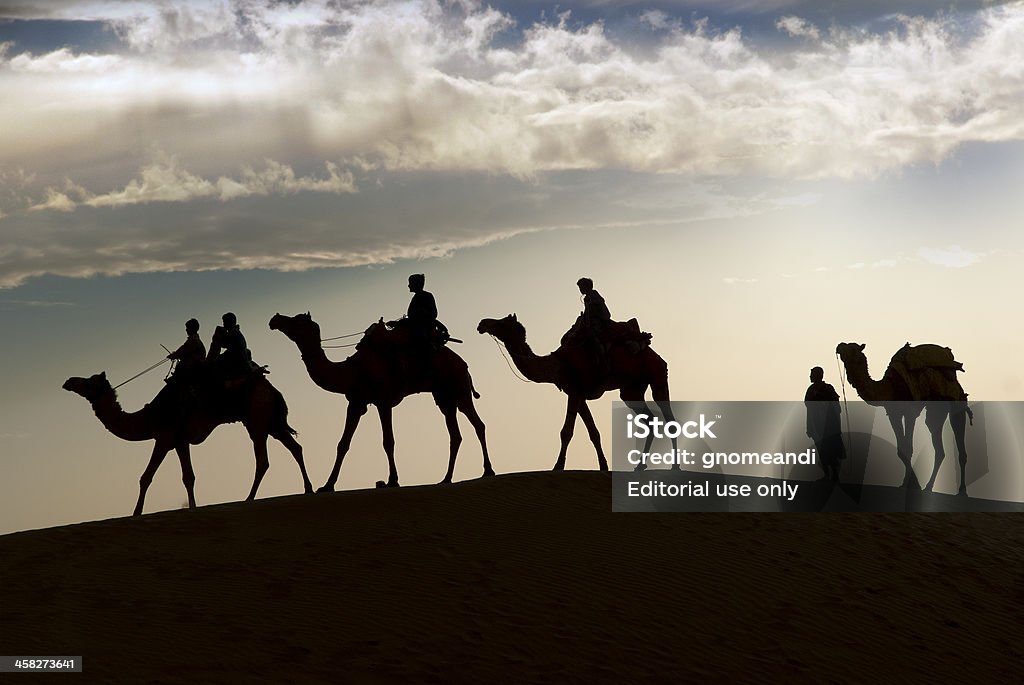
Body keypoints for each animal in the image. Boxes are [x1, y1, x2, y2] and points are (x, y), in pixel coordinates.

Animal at [62, 374, 313, 511]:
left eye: (90, 382)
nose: (68, 381)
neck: (149, 416)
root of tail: (272, 389)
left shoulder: (164, 438)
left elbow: (146, 477)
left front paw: (136, 512)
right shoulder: (180, 442)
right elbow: (188, 477)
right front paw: (192, 507)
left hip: (257, 419)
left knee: (263, 460)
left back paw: (249, 498)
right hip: (270, 421)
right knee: (295, 448)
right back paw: (308, 488)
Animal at [270, 313, 493, 489]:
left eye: (297, 320)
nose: (276, 319)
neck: (352, 371)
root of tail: (464, 364)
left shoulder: (383, 401)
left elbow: (388, 441)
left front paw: (392, 480)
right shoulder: (356, 402)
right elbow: (343, 444)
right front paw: (327, 485)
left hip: (459, 389)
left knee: (478, 424)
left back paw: (488, 471)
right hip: (444, 397)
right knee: (455, 434)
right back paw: (446, 478)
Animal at [477, 313, 675, 471]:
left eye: (502, 322)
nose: (482, 323)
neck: (557, 366)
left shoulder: (574, 391)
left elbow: (566, 432)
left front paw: (558, 466)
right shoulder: (578, 394)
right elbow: (593, 432)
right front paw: (603, 466)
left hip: (657, 374)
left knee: (669, 418)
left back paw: (675, 466)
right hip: (632, 389)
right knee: (649, 419)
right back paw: (640, 465)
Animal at [835, 339, 970, 491]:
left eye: (853, 348)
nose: (839, 346)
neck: (890, 388)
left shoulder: (910, 412)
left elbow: (908, 448)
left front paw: (911, 484)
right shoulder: (893, 413)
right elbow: (901, 449)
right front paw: (905, 483)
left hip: (957, 402)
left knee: (959, 439)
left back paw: (962, 490)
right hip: (936, 411)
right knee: (939, 447)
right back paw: (929, 486)